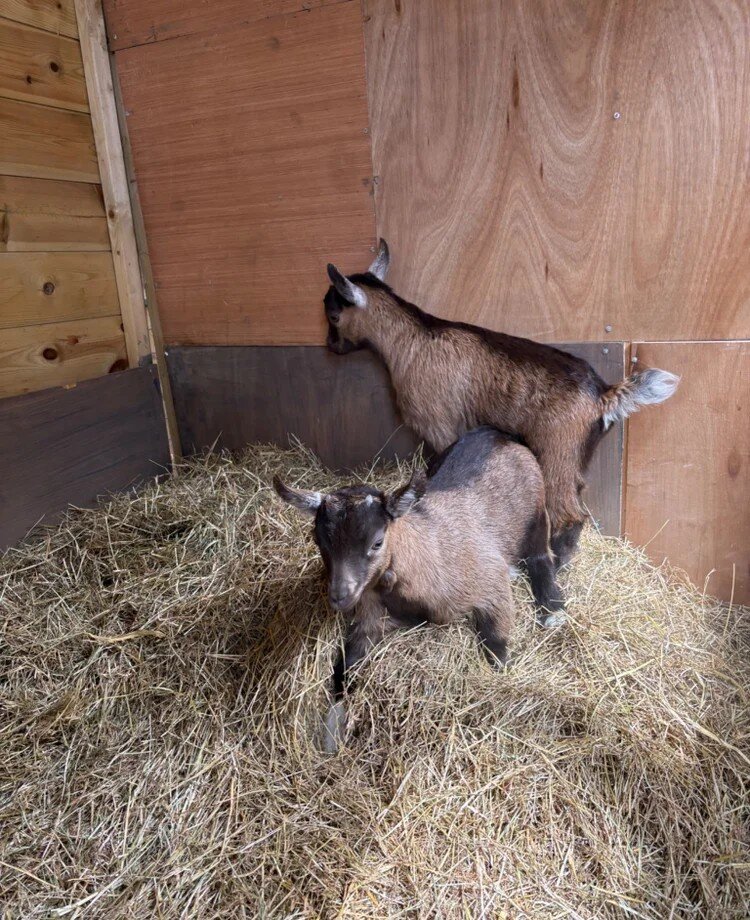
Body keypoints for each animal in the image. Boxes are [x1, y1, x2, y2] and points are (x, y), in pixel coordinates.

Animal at [274, 426, 565, 751]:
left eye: (377, 542)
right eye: (317, 540)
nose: (340, 596)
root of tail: (499, 434)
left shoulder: (490, 582)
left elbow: (497, 646)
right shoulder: (372, 618)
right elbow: (345, 667)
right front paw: (331, 733)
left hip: (537, 513)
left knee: (541, 555)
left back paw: (552, 608)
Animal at [324, 241, 679, 566]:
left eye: (334, 315)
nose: (331, 346)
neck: (411, 338)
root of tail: (603, 394)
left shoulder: (438, 424)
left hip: (557, 450)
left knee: (569, 513)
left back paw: (555, 565)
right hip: (574, 455)